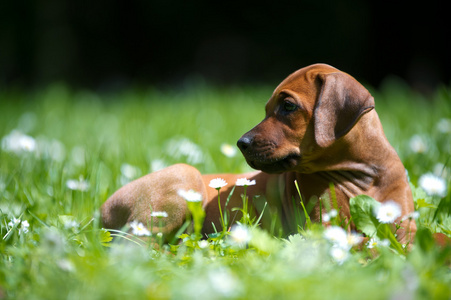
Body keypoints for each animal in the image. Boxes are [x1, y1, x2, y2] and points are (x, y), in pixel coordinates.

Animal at [100, 63, 418, 244]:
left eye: (287, 106)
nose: (241, 142)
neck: (363, 174)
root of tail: (100, 212)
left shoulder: (406, 226)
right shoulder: (325, 228)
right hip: (180, 178)